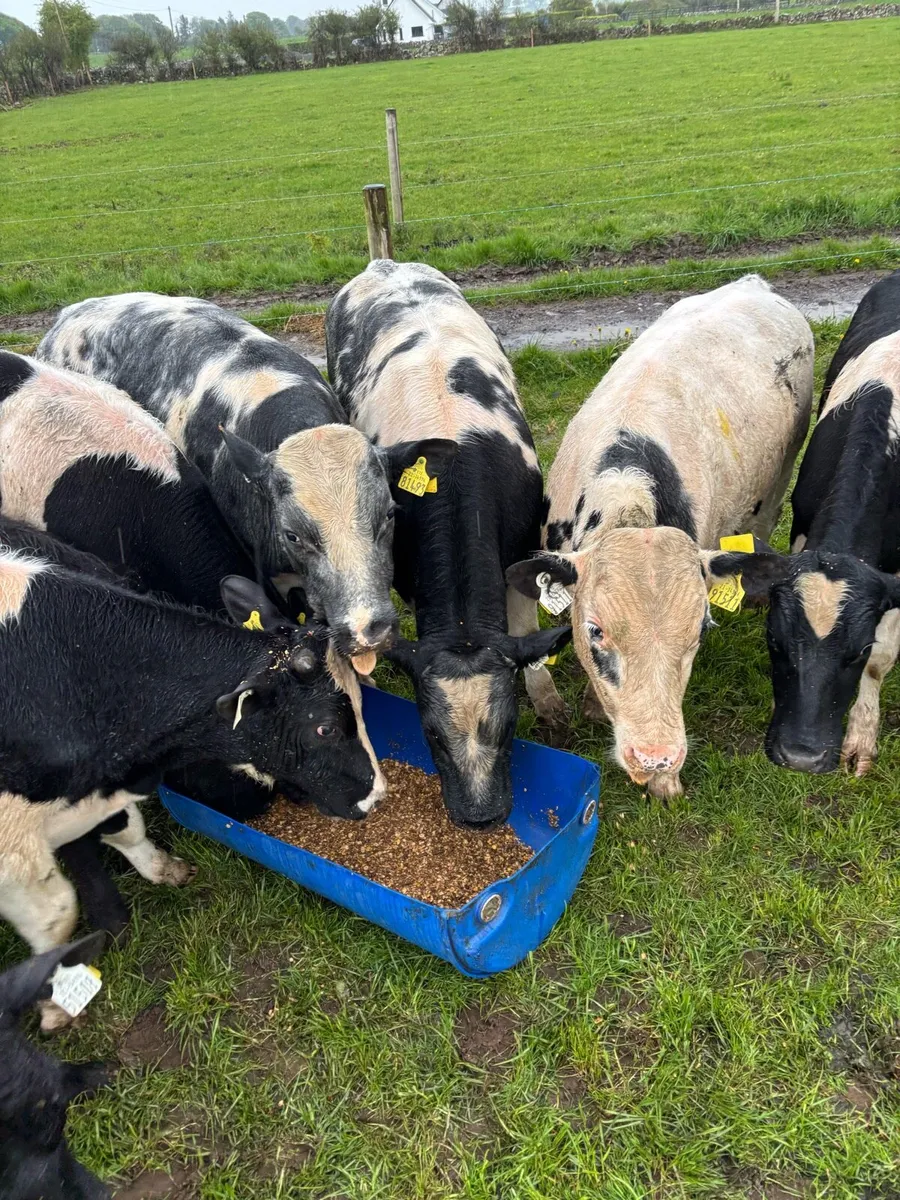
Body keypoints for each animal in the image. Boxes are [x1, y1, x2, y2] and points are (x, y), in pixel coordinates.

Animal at [0, 538, 376, 1025]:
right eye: (325, 728)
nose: (376, 795)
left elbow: (127, 828)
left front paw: (163, 869)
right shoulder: (13, 847)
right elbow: (57, 915)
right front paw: (53, 1000)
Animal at [326, 261, 572, 829]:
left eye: (509, 725)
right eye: (431, 734)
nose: (479, 817)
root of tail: (383, 265)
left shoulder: (521, 552)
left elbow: (525, 633)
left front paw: (548, 703)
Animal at [507, 275, 814, 798]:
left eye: (701, 630)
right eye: (595, 630)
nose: (656, 757)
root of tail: (754, 282)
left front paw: (664, 784)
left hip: (783, 465)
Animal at [704, 270, 900, 775]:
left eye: (858, 650)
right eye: (774, 641)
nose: (801, 756)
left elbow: (885, 657)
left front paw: (861, 739)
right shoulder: (802, 529)